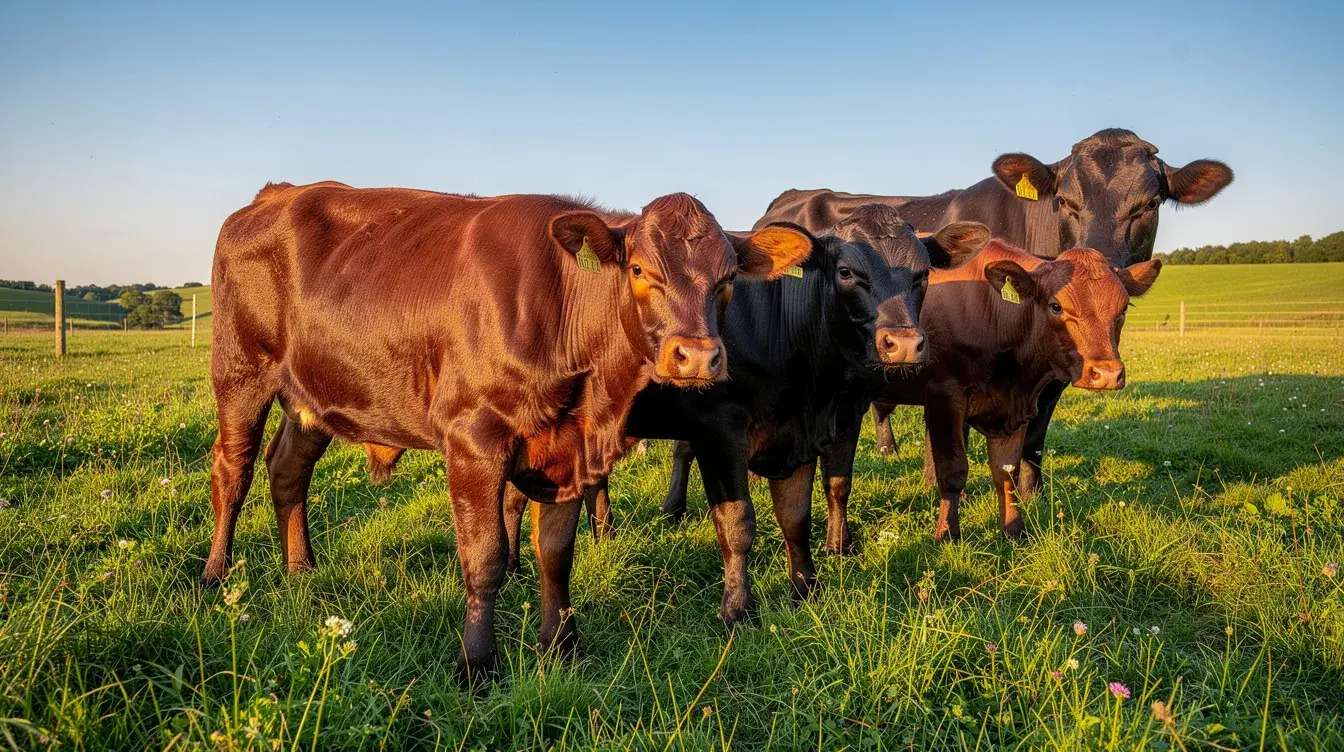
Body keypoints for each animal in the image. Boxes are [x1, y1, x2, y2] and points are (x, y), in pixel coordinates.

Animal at [203, 181, 812, 682]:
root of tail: (275, 195)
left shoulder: (566, 449)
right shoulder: (474, 439)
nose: (698, 357)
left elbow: (556, 553)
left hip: (311, 396)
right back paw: (215, 575)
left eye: (728, 279)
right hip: (240, 374)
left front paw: (560, 646)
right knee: (233, 472)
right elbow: (486, 556)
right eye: (639, 269)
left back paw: (301, 570)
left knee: (287, 471)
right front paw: (477, 663)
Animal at [500, 206, 989, 648]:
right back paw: (511, 568)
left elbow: (798, 514)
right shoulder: (719, 431)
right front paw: (738, 608)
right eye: (847, 271)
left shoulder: (802, 431)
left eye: (923, 274)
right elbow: (737, 523)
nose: (904, 344)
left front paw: (806, 587)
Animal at [755, 128, 1231, 497]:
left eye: (1150, 204)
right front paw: (937, 486)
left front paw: (1032, 495)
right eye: (1063, 201)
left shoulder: (1053, 376)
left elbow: (1033, 439)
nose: (1104, 262)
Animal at [830, 241, 1161, 545]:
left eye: (1123, 309)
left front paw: (1015, 531)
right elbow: (952, 470)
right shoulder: (943, 395)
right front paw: (947, 534)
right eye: (1056, 306)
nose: (1106, 374)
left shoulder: (1017, 407)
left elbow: (1007, 471)